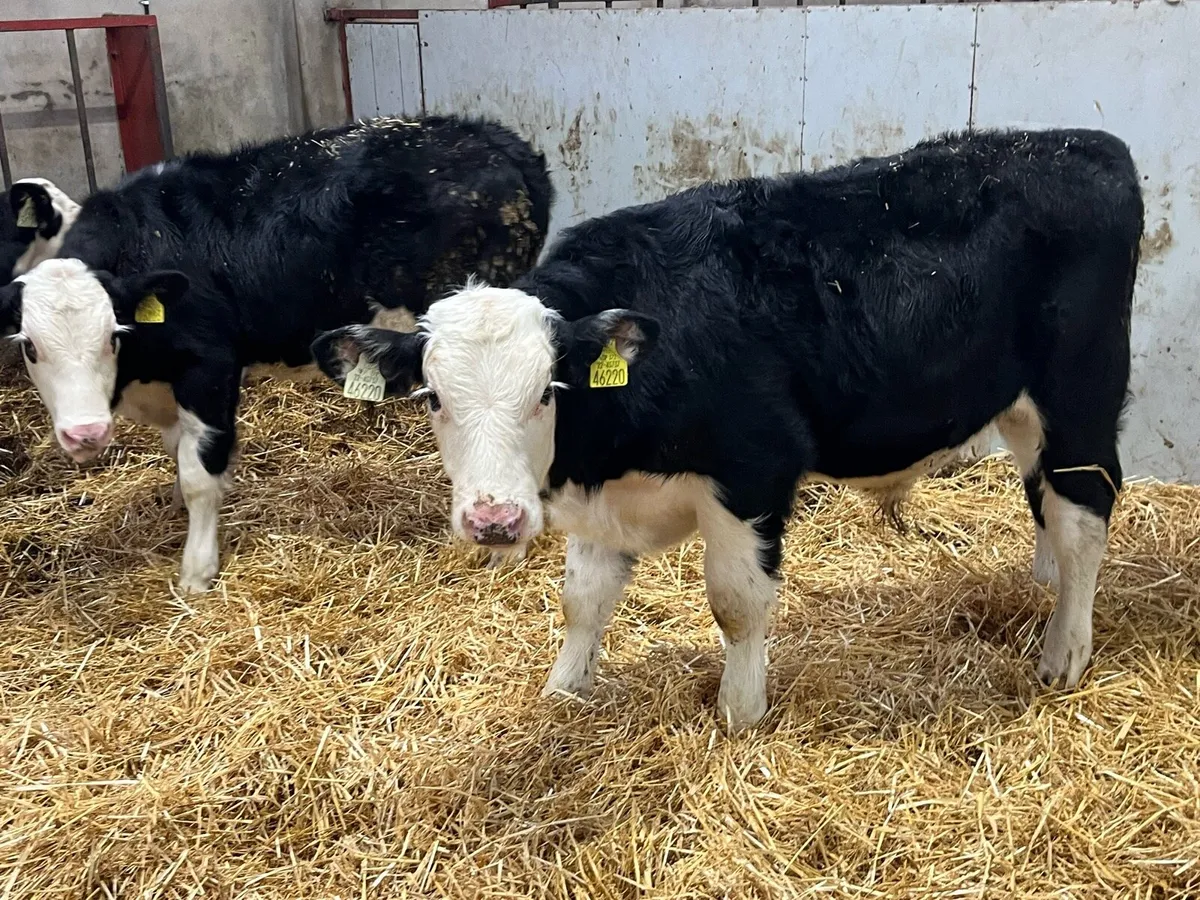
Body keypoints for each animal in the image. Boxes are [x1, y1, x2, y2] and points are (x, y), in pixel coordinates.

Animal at [0, 115, 552, 593]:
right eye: (29, 347)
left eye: (111, 336)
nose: (84, 433)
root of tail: (496, 138)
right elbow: (179, 454)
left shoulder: (210, 365)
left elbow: (200, 471)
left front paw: (197, 569)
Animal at [312, 128, 1143, 731]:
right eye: (433, 398)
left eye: (547, 392)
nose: (493, 520)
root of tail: (1080, 142)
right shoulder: (605, 505)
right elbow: (583, 601)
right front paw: (563, 694)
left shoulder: (754, 470)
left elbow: (737, 605)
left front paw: (740, 714)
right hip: (1022, 407)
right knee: (1045, 502)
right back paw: (1041, 590)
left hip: (1081, 388)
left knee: (1084, 517)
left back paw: (1064, 652)